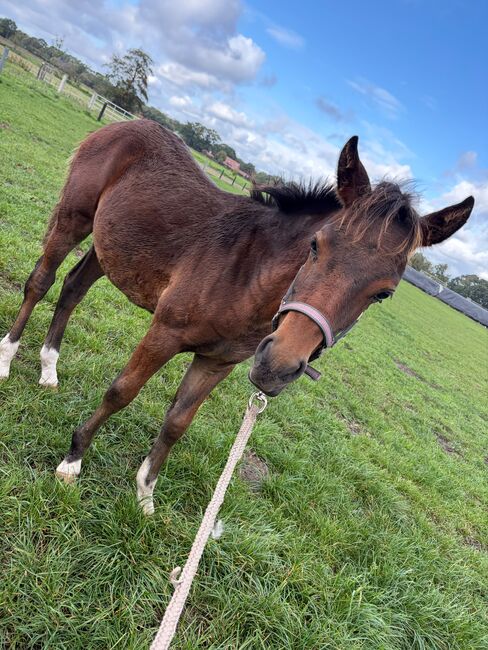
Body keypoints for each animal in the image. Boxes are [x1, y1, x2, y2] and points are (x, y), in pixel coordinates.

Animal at [0, 119, 474, 514]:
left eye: (383, 294)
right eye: (316, 245)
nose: (277, 367)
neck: (246, 275)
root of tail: (124, 124)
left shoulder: (218, 362)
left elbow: (178, 422)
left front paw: (145, 496)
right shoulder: (164, 332)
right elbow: (122, 391)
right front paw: (72, 461)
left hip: (110, 246)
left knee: (72, 288)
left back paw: (48, 368)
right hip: (73, 219)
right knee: (41, 282)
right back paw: (7, 357)